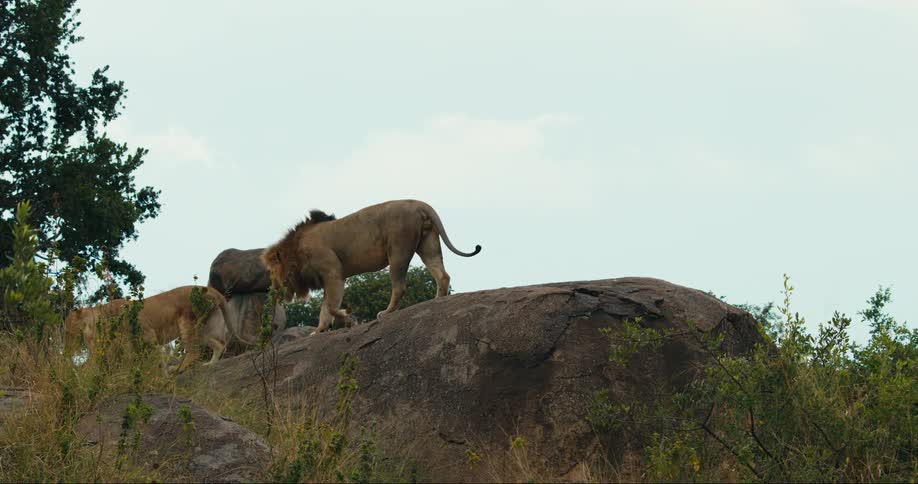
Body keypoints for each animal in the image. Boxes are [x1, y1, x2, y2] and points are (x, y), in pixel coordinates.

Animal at [64, 285, 230, 372]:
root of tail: (212, 290)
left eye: (69, 331)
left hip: (187, 321)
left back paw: (176, 369)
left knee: (195, 351)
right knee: (219, 344)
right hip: (205, 326)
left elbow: (156, 358)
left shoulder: (148, 334)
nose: (68, 348)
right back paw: (210, 364)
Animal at [262, 199, 481, 335]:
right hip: (428, 244)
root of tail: (420, 204)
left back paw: (387, 313)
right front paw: (319, 331)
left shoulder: (333, 273)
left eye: (271, 272)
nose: (272, 288)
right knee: (442, 275)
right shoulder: (327, 279)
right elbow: (324, 309)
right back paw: (437, 301)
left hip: (398, 250)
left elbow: (330, 307)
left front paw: (350, 320)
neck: (296, 250)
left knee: (400, 286)